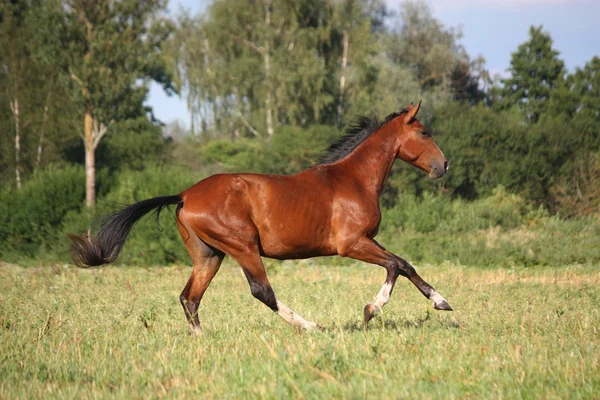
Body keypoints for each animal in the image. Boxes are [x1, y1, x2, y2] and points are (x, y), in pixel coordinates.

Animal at [69, 101, 450, 332]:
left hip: (209, 255)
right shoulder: (351, 244)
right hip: (243, 247)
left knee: (189, 297)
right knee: (261, 290)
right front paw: (372, 309)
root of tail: (185, 195)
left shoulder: (367, 240)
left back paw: (201, 339)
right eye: (424, 133)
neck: (353, 179)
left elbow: (405, 264)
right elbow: (395, 266)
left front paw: (440, 302)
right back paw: (310, 326)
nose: (444, 165)